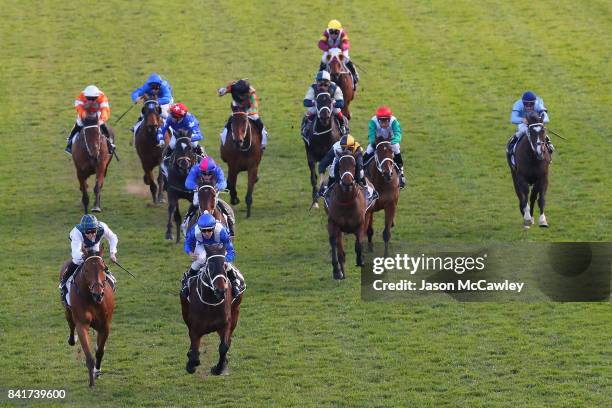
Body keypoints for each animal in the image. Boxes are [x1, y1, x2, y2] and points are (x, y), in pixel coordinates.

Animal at [59, 253, 114, 388]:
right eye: (86, 270)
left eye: (103, 268)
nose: (98, 294)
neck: (92, 299)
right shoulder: (82, 325)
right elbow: (89, 356)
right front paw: (91, 383)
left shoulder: (105, 326)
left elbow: (99, 351)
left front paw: (97, 372)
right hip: (67, 310)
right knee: (71, 324)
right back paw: (72, 339)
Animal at [179, 245, 241, 376]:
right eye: (210, 266)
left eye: (225, 265)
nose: (221, 290)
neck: (211, 303)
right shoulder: (195, 327)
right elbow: (194, 350)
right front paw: (191, 363)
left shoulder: (225, 324)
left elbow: (224, 346)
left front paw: (218, 368)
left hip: (235, 313)